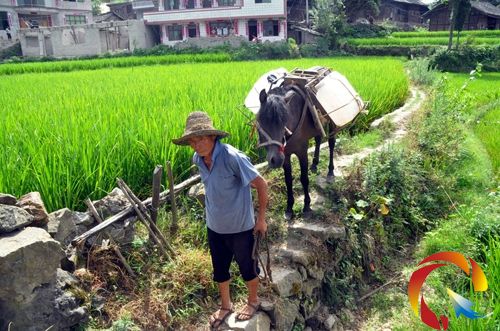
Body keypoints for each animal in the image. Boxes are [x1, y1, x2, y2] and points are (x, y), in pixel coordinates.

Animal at [258, 85, 336, 220]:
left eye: (284, 121)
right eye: (263, 120)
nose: (275, 160)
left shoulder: (302, 151)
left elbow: (304, 178)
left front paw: (307, 206)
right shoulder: (285, 155)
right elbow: (288, 180)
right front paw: (289, 208)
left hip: (331, 122)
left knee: (331, 143)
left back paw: (330, 171)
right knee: (318, 139)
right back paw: (314, 165)